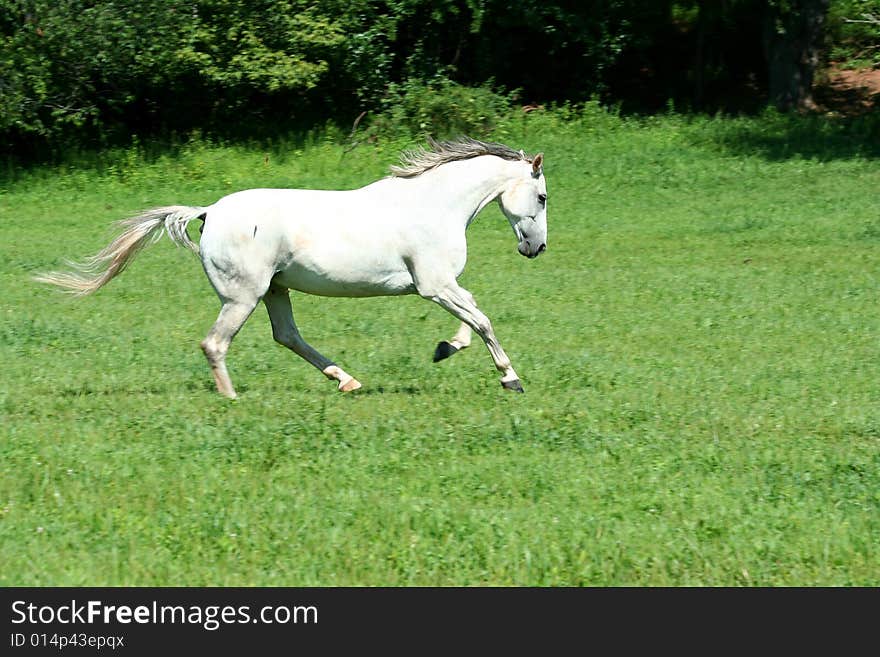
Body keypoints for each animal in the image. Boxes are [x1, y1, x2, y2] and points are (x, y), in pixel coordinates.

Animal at [39, 136, 552, 398]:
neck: (433, 204)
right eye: (543, 197)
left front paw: (445, 349)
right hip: (242, 296)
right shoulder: (435, 285)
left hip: (274, 290)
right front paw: (511, 379)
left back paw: (347, 381)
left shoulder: (441, 284)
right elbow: (483, 320)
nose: (537, 248)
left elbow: (472, 318)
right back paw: (232, 398)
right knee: (215, 343)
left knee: (286, 336)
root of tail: (209, 211)